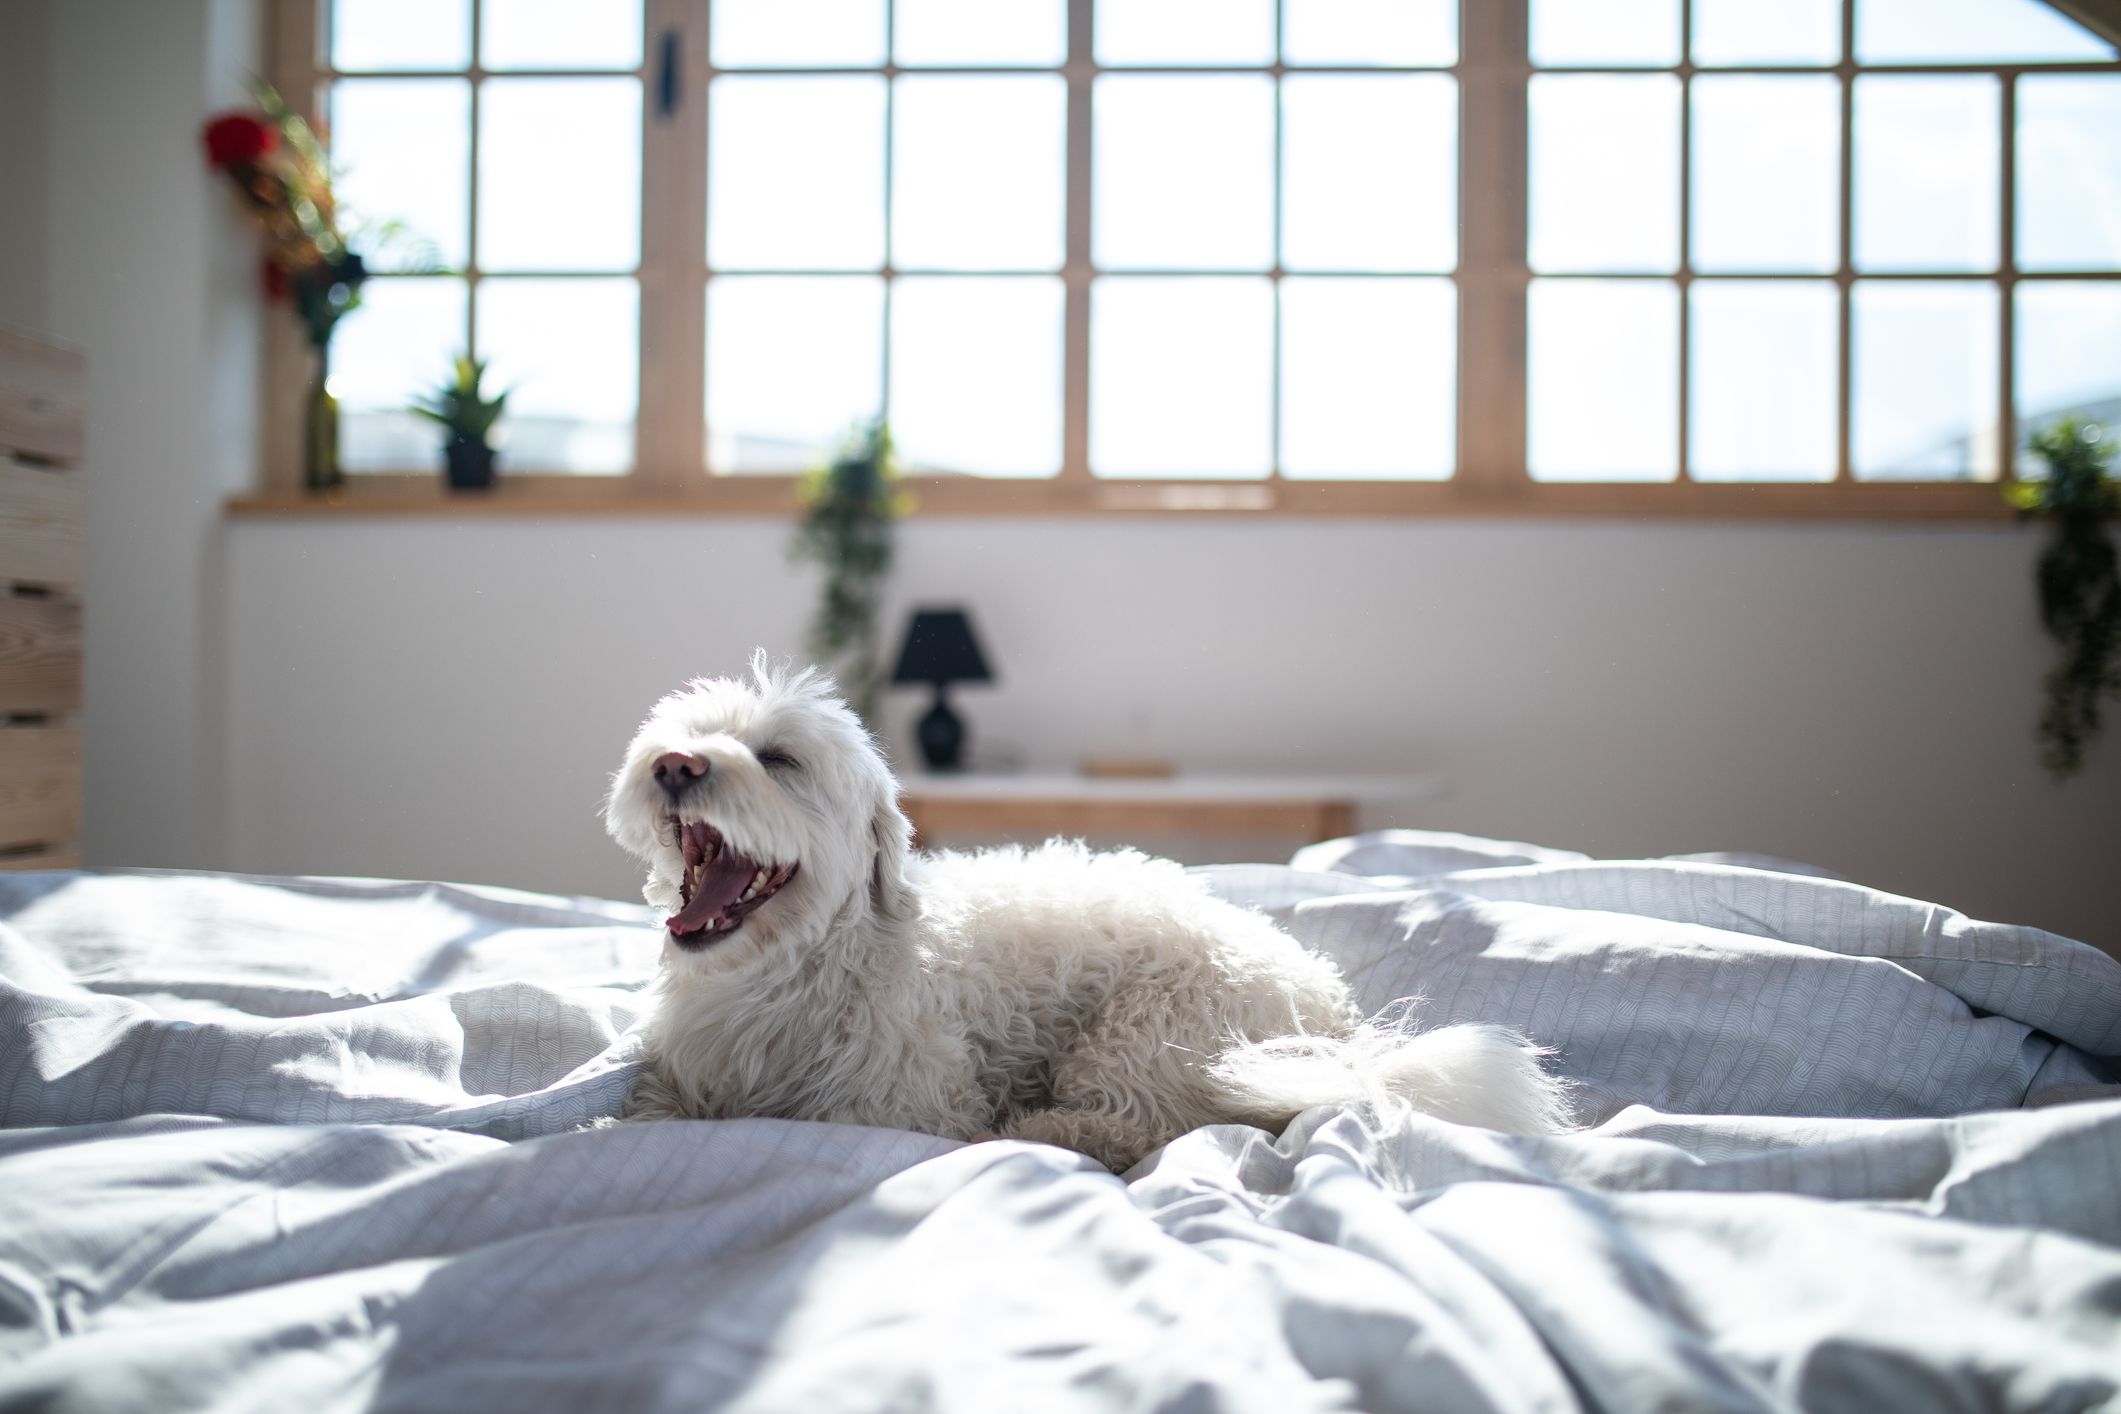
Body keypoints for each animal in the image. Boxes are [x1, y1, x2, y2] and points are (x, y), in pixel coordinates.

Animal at [606, 657, 1569, 1170]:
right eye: (684, 735)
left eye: (778, 759)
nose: (676, 764)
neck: (789, 972)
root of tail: (1336, 1019)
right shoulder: (679, 1081)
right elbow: (645, 1116)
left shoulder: (904, 1107)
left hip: (1149, 1032)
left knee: (1153, 1125)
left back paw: (1044, 1129)